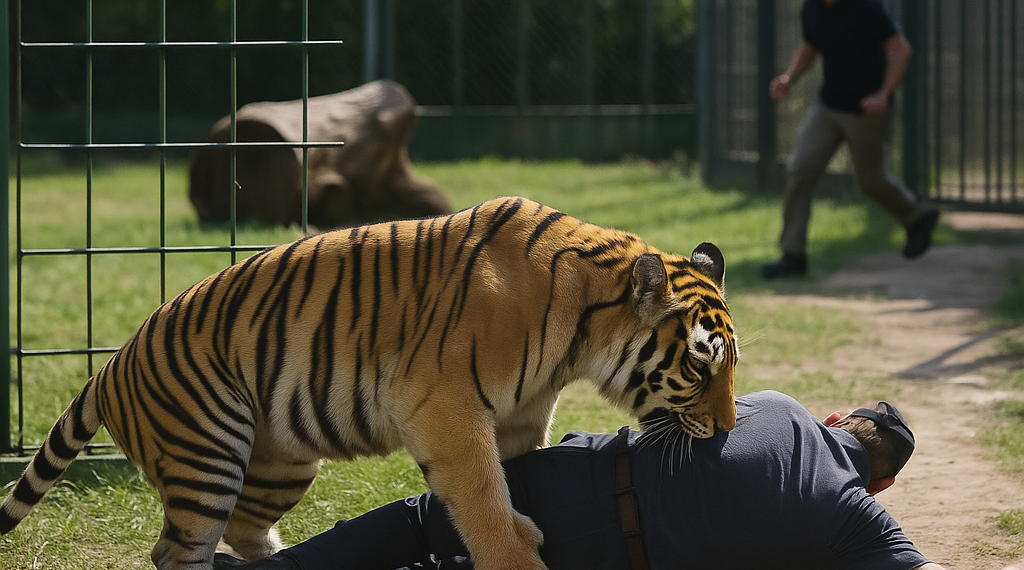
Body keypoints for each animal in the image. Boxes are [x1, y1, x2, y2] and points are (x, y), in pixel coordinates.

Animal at [0, 196, 737, 570]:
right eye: (700, 364)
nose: (728, 429)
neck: (582, 325)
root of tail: (108, 365)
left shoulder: (522, 415)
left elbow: (516, 482)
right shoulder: (446, 411)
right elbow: (486, 505)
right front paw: (514, 553)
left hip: (281, 462)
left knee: (241, 528)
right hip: (207, 451)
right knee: (176, 550)